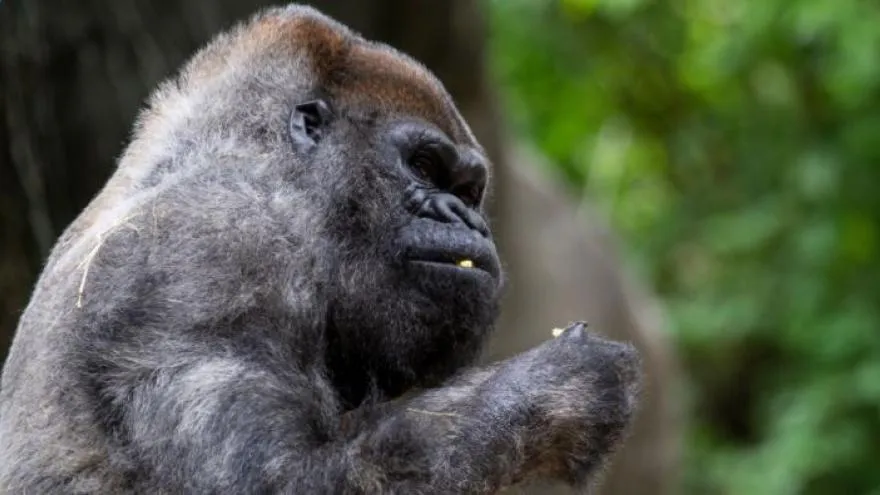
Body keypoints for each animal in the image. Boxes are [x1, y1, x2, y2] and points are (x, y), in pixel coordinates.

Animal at [0, 4, 641, 494]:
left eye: (468, 191)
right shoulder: (211, 254)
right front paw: (561, 390)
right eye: (423, 166)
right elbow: (278, 479)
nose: (468, 220)